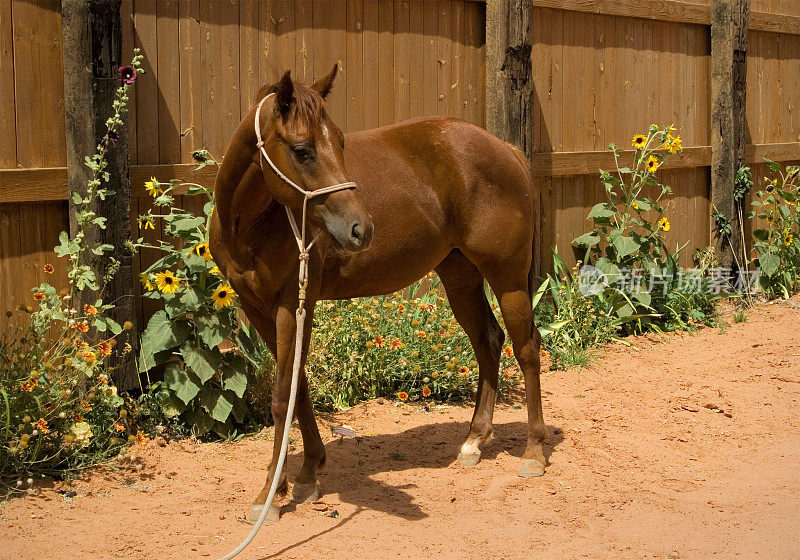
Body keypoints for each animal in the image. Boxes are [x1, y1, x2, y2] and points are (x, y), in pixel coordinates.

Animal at [209, 66, 548, 524]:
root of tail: (506, 150)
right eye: (301, 150)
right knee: (488, 342)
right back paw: (474, 441)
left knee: (526, 349)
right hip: (460, 278)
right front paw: (308, 473)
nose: (361, 229)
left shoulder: (292, 305)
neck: (251, 224)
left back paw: (533, 452)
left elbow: (283, 396)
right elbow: (299, 383)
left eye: (340, 141)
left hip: (507, 278)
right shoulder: (257, 306)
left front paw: (270, 494)